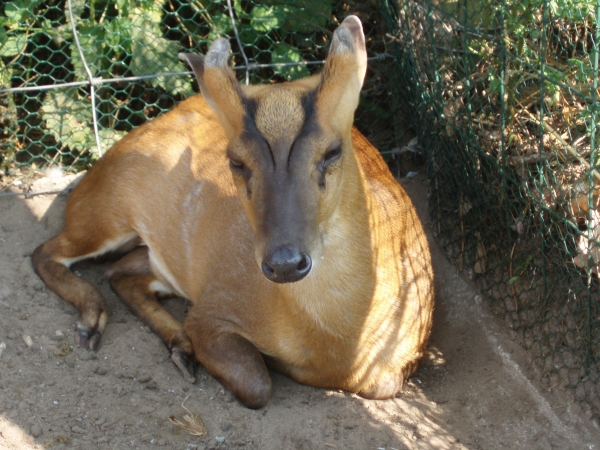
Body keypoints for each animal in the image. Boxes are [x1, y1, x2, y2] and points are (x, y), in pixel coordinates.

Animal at [32, 14, 434, 408]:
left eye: (333, 151)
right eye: (236, 161)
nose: (284, 263)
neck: (338, 347)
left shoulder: (402, 360)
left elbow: (383, 385)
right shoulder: (212, 310)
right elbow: (255, 384)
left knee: (119, 272)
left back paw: (178, 349)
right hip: (104, 209)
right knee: (47, 252)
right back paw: (96, 324)